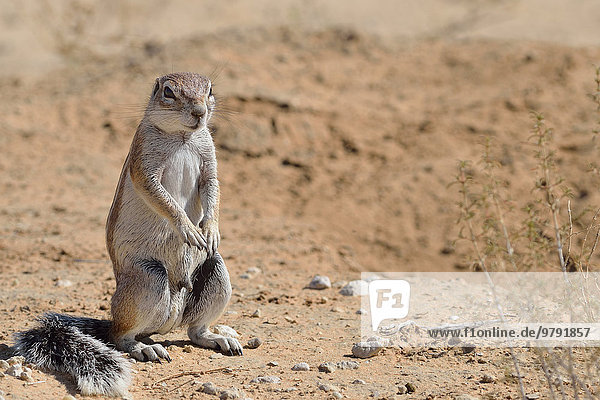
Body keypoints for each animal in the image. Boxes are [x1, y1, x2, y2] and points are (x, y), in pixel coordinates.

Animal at [14, 72, 239, 396]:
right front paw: (187, 228)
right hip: (148, 278)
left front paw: (209, 230)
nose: (199, 112)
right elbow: (160, 197)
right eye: (168, 92)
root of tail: (166, 322)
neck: (183, 137)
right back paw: (144, 348)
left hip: (215, 272)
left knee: (195, 330)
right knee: (122, 336)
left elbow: (213, 190)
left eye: (209, 90)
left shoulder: (209, 162)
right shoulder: (144, 163)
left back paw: (218, 338)